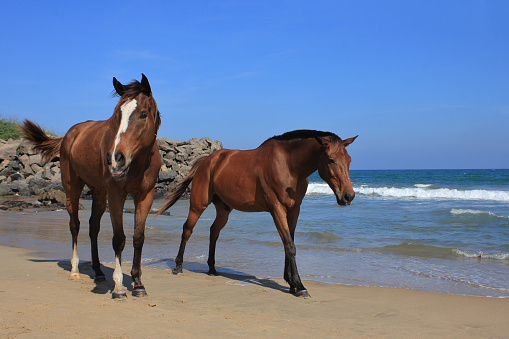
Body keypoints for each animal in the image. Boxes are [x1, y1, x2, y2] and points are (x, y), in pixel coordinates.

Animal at [21, 75, 161, 300]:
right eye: (116, 115)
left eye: (143, 113)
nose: (115, 159)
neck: (139, 162)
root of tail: (70, 134)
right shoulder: (116, 194)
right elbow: (119, 238)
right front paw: (119, 286)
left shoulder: (145, 196)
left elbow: (138, 237)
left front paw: (138, 283)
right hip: (72, 188)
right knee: (75, 225)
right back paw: (75, 269)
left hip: (98, 192)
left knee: (93, 227)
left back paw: (98, 272)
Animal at [156, 130, 358, 298]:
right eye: (331, 159)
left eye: (349, 160)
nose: (348, 196)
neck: (289, 166)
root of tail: (206, 161)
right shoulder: (277, 209)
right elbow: (290, 246)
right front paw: (299, 286)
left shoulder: (294, 210)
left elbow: (290, 243)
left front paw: (291, 283)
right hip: (198, 205)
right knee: (187, 230)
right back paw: (178, 266)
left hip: (224, 209)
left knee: (214, 232)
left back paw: (212, 268)